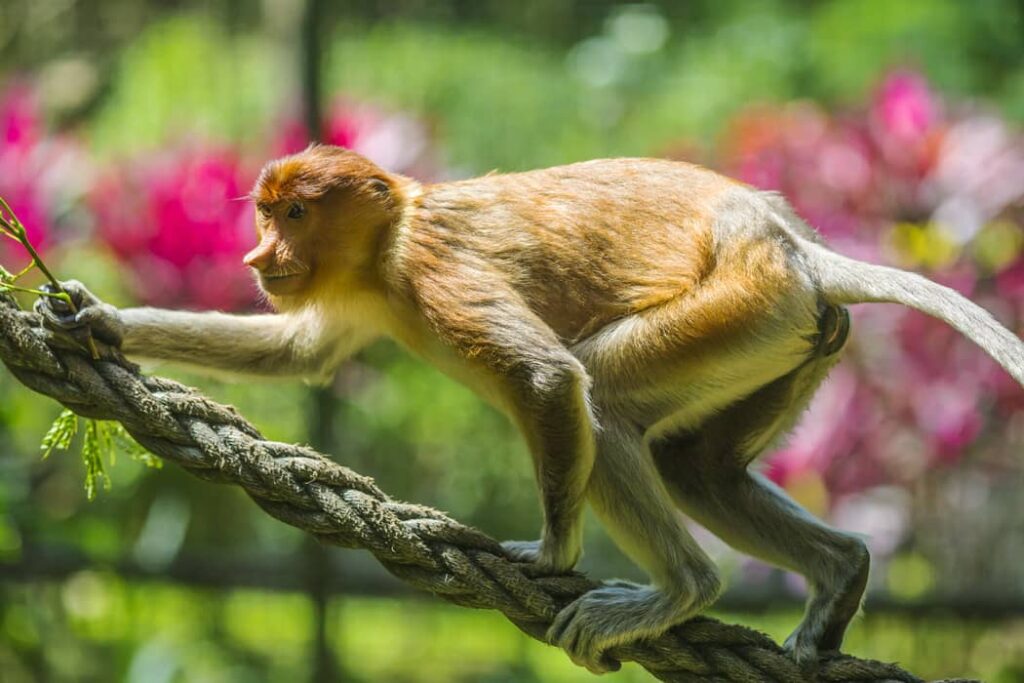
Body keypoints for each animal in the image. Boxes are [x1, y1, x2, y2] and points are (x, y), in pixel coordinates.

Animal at [37, 144, 1024, 674]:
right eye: (264, 212)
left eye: (295, 213)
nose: (257, 259)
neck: (394, 231)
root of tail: (799, 251)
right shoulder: (368, 289)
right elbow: (301, 352)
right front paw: (94, 318)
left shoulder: (432, 273)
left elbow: (550, 378)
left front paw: (549, 554)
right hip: (788, 337)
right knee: (696, 466)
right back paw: (839, 573)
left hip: (745, 308)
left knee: (607, 399)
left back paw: (681, 589)